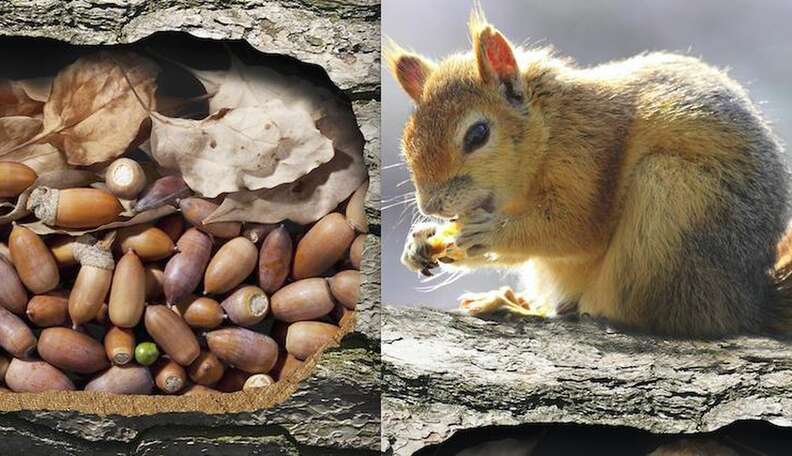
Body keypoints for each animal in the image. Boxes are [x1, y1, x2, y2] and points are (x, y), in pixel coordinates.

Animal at [385, 6, 792, 337]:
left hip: (670, 202)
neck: (551, 130)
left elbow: (573, 228)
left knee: (625, 313)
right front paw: (421, 241)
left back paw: (521, 308)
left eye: (478, 134)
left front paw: (487, 231)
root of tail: (741, 304)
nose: (431, 205)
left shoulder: (589, 157)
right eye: (407, 139)